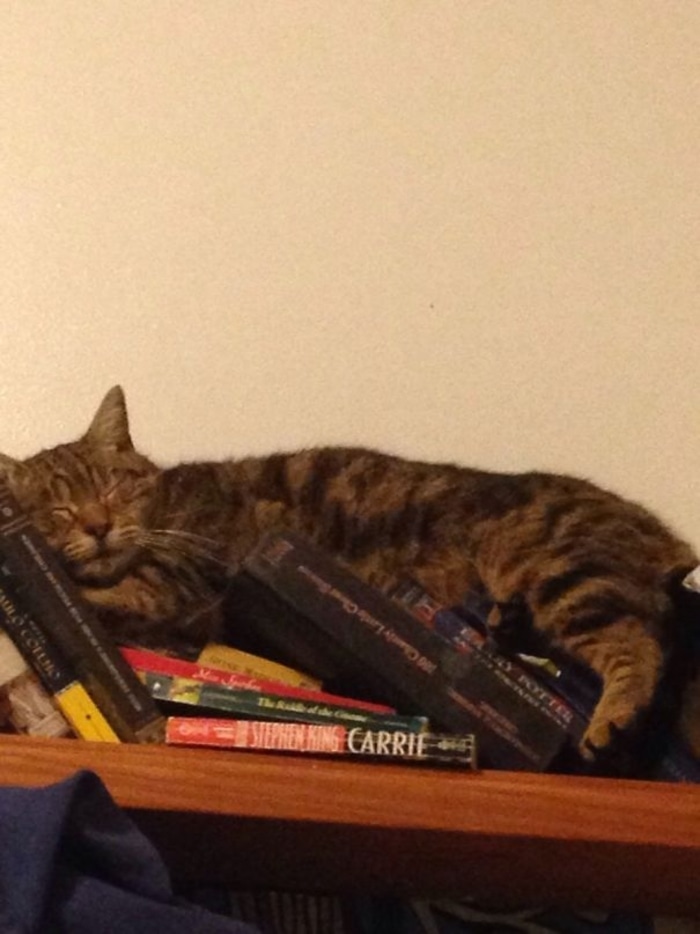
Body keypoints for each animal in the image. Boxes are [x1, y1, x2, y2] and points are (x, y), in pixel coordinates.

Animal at [1, 388, 700, 768]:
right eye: (60, 509)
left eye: (112, 488)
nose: (97, 526)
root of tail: (660, 533)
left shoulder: (184, 572)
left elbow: (112, 592)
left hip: (567, 572)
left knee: (639, 640)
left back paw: (611, 718)